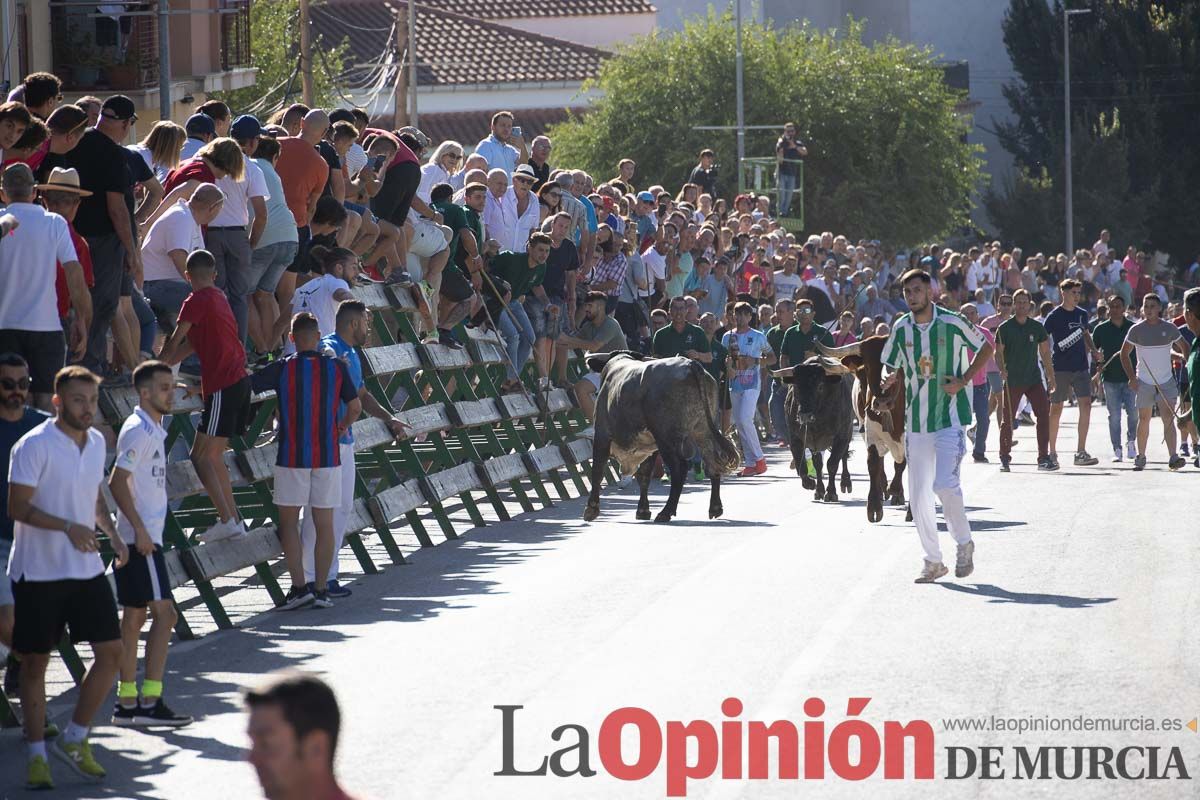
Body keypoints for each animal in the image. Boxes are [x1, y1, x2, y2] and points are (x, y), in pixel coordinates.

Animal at [580, 352, 739, 522]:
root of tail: (690, 364)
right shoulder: (649, 447)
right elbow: (644, 476)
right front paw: (643, 510)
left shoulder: (602, 435)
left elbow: (597, 471)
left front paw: (591, 509)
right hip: (702, 431)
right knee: (712, 463)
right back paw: (715, 508)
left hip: (667, 438)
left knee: (680, 468)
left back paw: (666, 512)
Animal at [816, 338, 907, 525]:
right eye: (868, 367)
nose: (881, 403)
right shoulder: (871, 433)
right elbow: (874, 464)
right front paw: (874, 506)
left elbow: (902, 465)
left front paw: (896, 490)